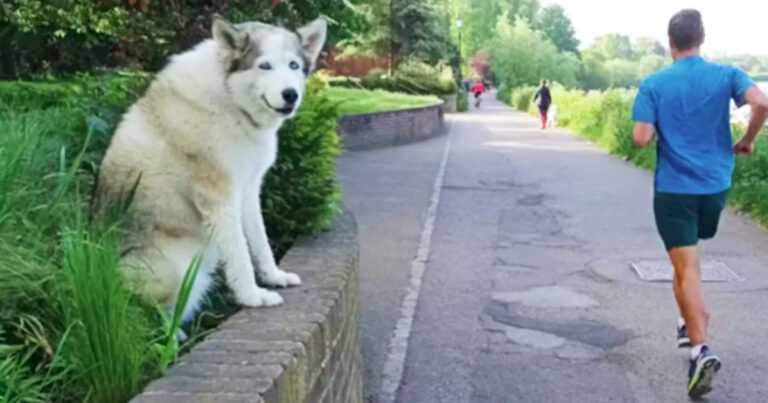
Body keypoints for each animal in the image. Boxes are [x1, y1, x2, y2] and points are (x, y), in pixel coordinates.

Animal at [97, 15, 328, 320]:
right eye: (264, 65)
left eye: (294, 66)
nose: (290, 94)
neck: (230, 100)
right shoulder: (219, 197)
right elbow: (240, 254)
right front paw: (253, 296)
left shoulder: (248, 190)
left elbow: (260, 242)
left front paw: (274, 276)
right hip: (179, 271)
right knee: (151, 318)